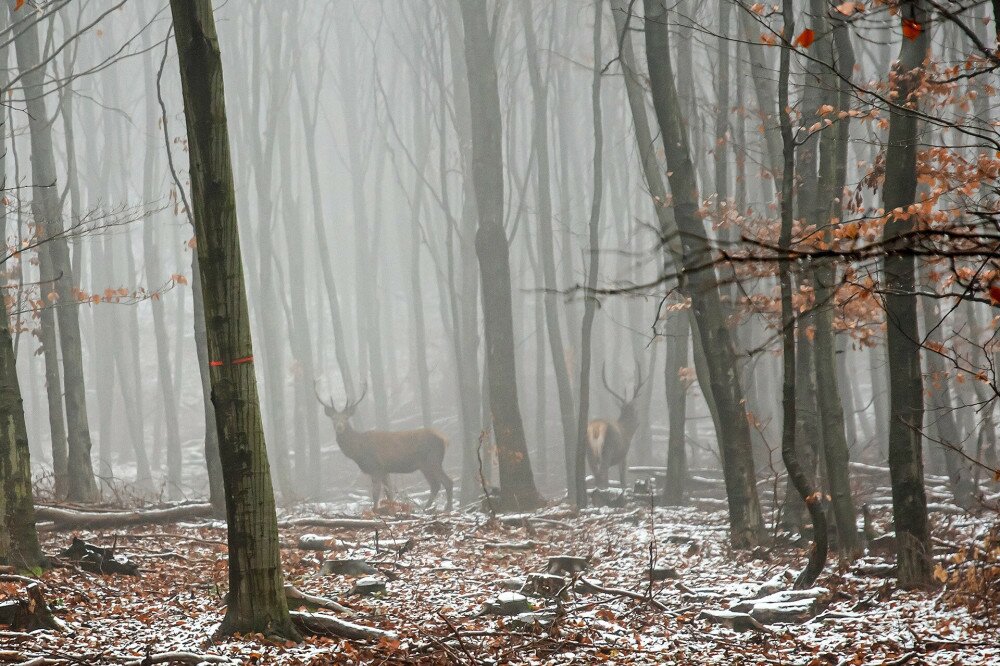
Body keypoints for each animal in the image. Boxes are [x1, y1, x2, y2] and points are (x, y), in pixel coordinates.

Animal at [316, 382, 454, 506]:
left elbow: (376, 494)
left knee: (446, 482)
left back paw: (446, 509)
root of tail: (445, 439)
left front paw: (375, 511)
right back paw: (428, 508)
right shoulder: (385, 469)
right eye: (333, 418)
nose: (339, 427)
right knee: (436, 485)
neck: (358, 449)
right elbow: (389, 493)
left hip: (431, 460)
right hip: (427, 464)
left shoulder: (376, 467)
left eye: (346, 418)